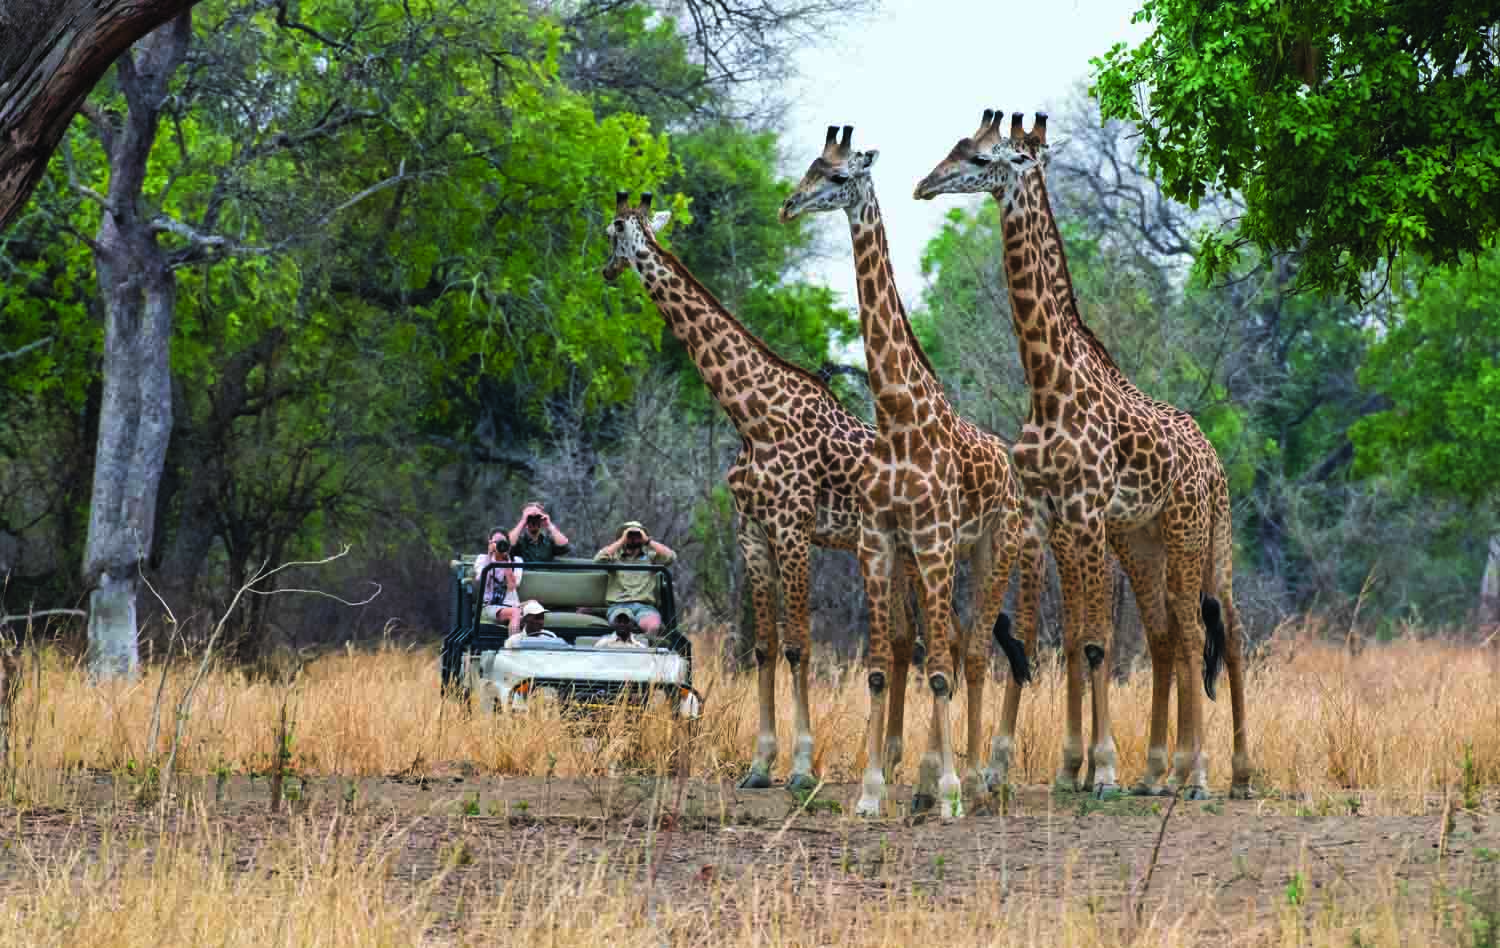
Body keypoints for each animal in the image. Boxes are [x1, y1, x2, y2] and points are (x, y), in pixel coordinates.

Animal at [597, 189, 924, 786]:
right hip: (889, 552)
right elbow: (765, 648)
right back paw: (889, 759)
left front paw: (801, 767)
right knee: (904, 637)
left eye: (612, 230)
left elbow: (798, 646)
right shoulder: (751, 530)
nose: (607, 270)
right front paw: (759, 764)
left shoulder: (792, 528)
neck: (751, 416)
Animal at [786, 127, 1032, 822]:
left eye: (839, 177)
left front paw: (948, 791)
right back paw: (928, 781)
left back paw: (971, 780)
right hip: (930, 560)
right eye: (810, 166)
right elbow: (878, 667)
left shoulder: (934, 540)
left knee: (971, 654)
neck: (897, 420)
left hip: (992, 547)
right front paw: (872, 793)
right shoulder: (878, 543)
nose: (789, 206)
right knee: (947, 646)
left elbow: (943, 668)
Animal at [912, 107, 1254, 798]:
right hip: (1143, 537)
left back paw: (1216, 772)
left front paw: (1103, 768)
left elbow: (1096, 640)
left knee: (1214, 629)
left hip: (1198, 531)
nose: (925, 186)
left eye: (983, 158)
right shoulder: (1050, 518)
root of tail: (1213, 462)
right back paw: (1163, 771)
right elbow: (1066, 637)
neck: (1047, 383)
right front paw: (1068, 766)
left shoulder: (1086, 512)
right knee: (1171, 631)